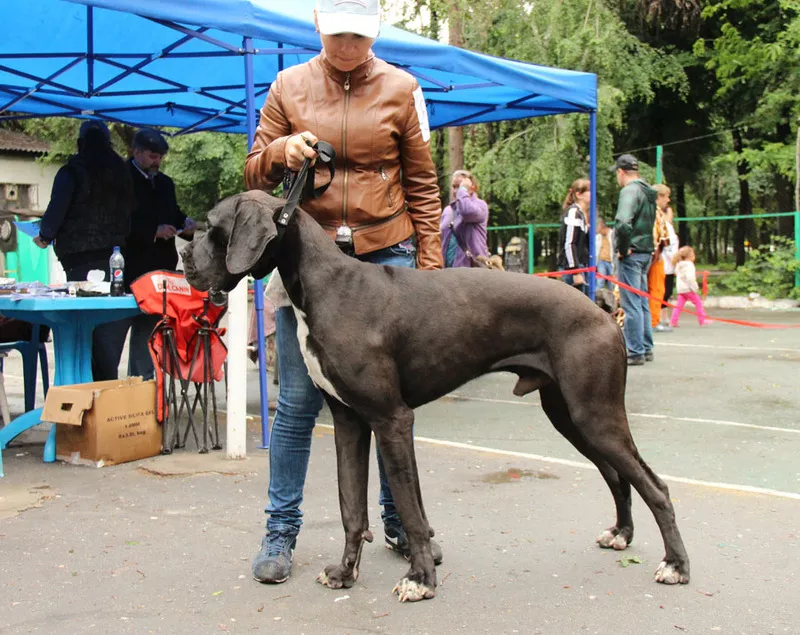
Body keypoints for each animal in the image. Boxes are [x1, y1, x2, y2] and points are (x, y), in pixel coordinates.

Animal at [181, 191, 688, 604]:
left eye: (213, 226)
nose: (183, 255)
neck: (325, 285)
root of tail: (601, 311)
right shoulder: (349, 422)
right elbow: (351, 508)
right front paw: (345, 574)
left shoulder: (392, 420)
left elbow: (409, 509)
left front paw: (420, 580)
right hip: (571, 415)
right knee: (617, 476)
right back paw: (621, 534)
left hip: (594, 414)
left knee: (655, 485)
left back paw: (675, 565)